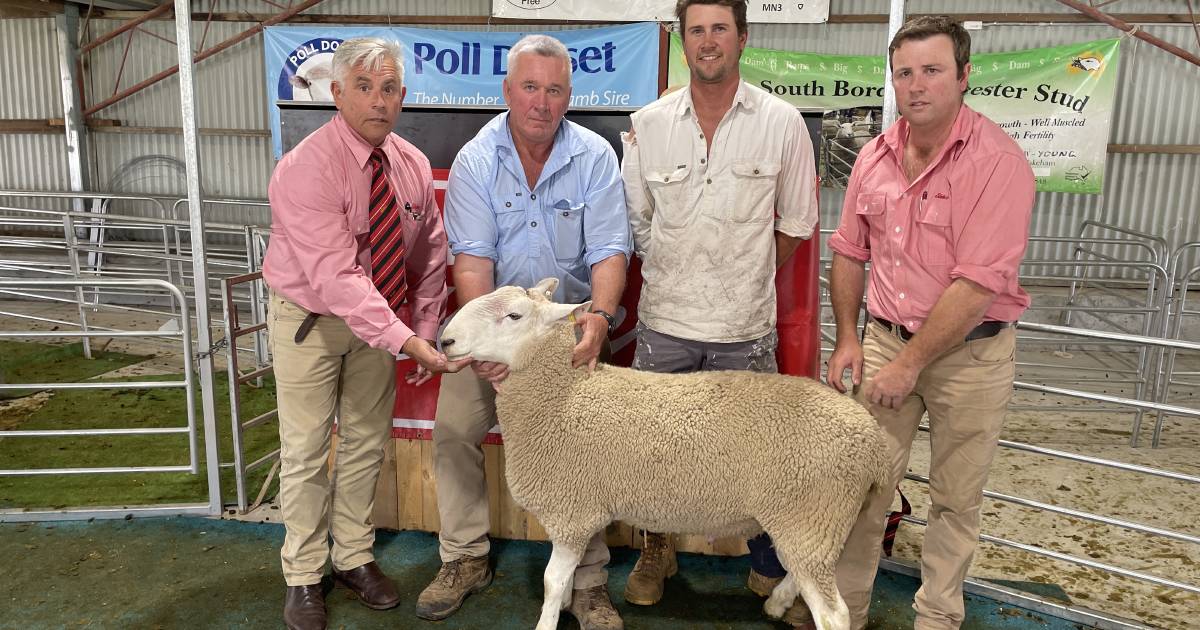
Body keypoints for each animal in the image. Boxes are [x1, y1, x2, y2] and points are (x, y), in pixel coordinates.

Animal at [436, 278, 888, 628]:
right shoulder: (579, 510)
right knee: (801, 569)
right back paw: (777, 602)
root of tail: (872, 437)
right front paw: (564, 608)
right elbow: (562, 582)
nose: (445, 340)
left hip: (811, 514)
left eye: (513, 316)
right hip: (813, 522)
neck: (566, 394)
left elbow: (551, 580)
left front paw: (548, 620)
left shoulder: (572, 513)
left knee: (834, 614)